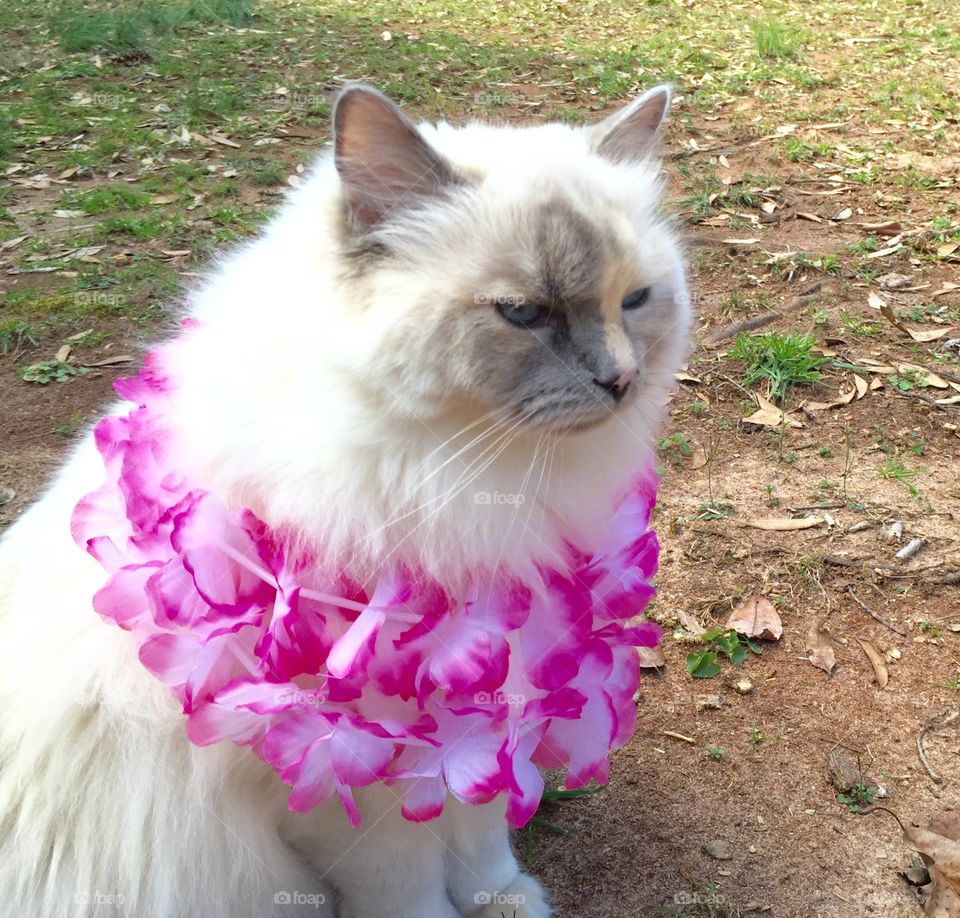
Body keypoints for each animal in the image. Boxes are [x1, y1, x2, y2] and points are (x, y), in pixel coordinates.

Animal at [0, 82, 688, 916]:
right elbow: (413, 887)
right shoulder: (348, 779)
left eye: (636, 301)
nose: (621, 380)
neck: (468, 479)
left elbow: (483, 834)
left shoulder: (491, 707)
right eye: (524, 313)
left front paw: (504, 901)